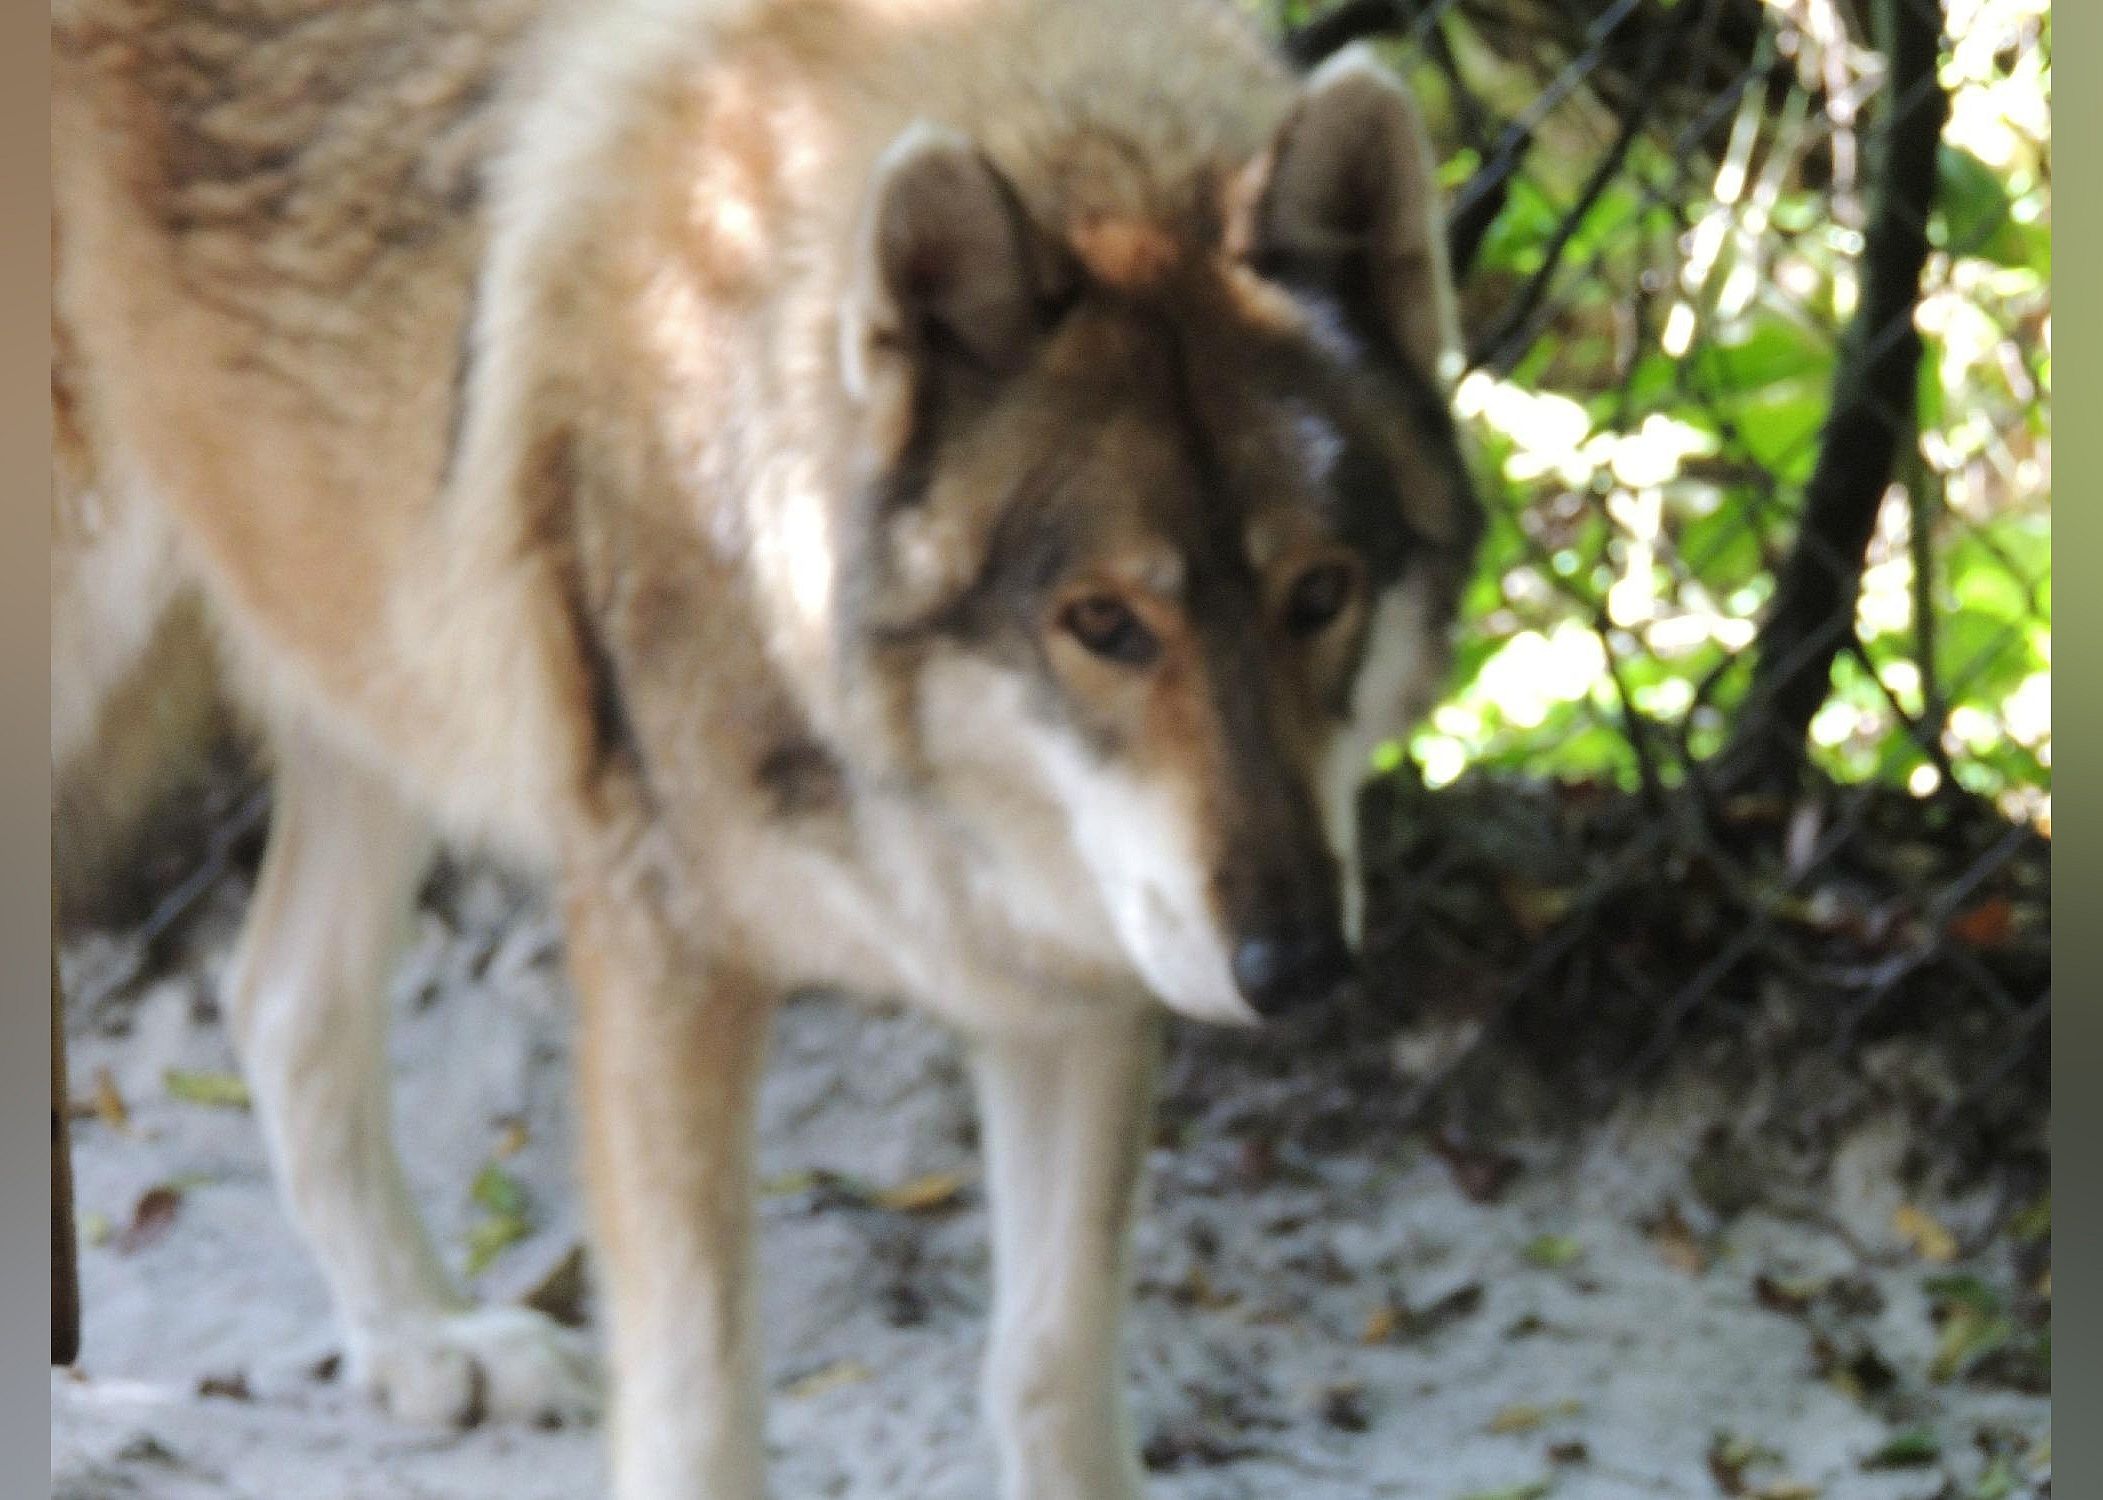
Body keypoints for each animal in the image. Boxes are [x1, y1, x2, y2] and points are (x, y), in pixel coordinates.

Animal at [52, 0, 1482, 1494]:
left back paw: (427, 1342)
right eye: (1102, 623)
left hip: (374, 660)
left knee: (277, 1001)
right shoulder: (664, 954)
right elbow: (701, 1397)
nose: (1298, 966)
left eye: (1318, 593)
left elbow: (1050, 1369)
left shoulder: (1067, 984)